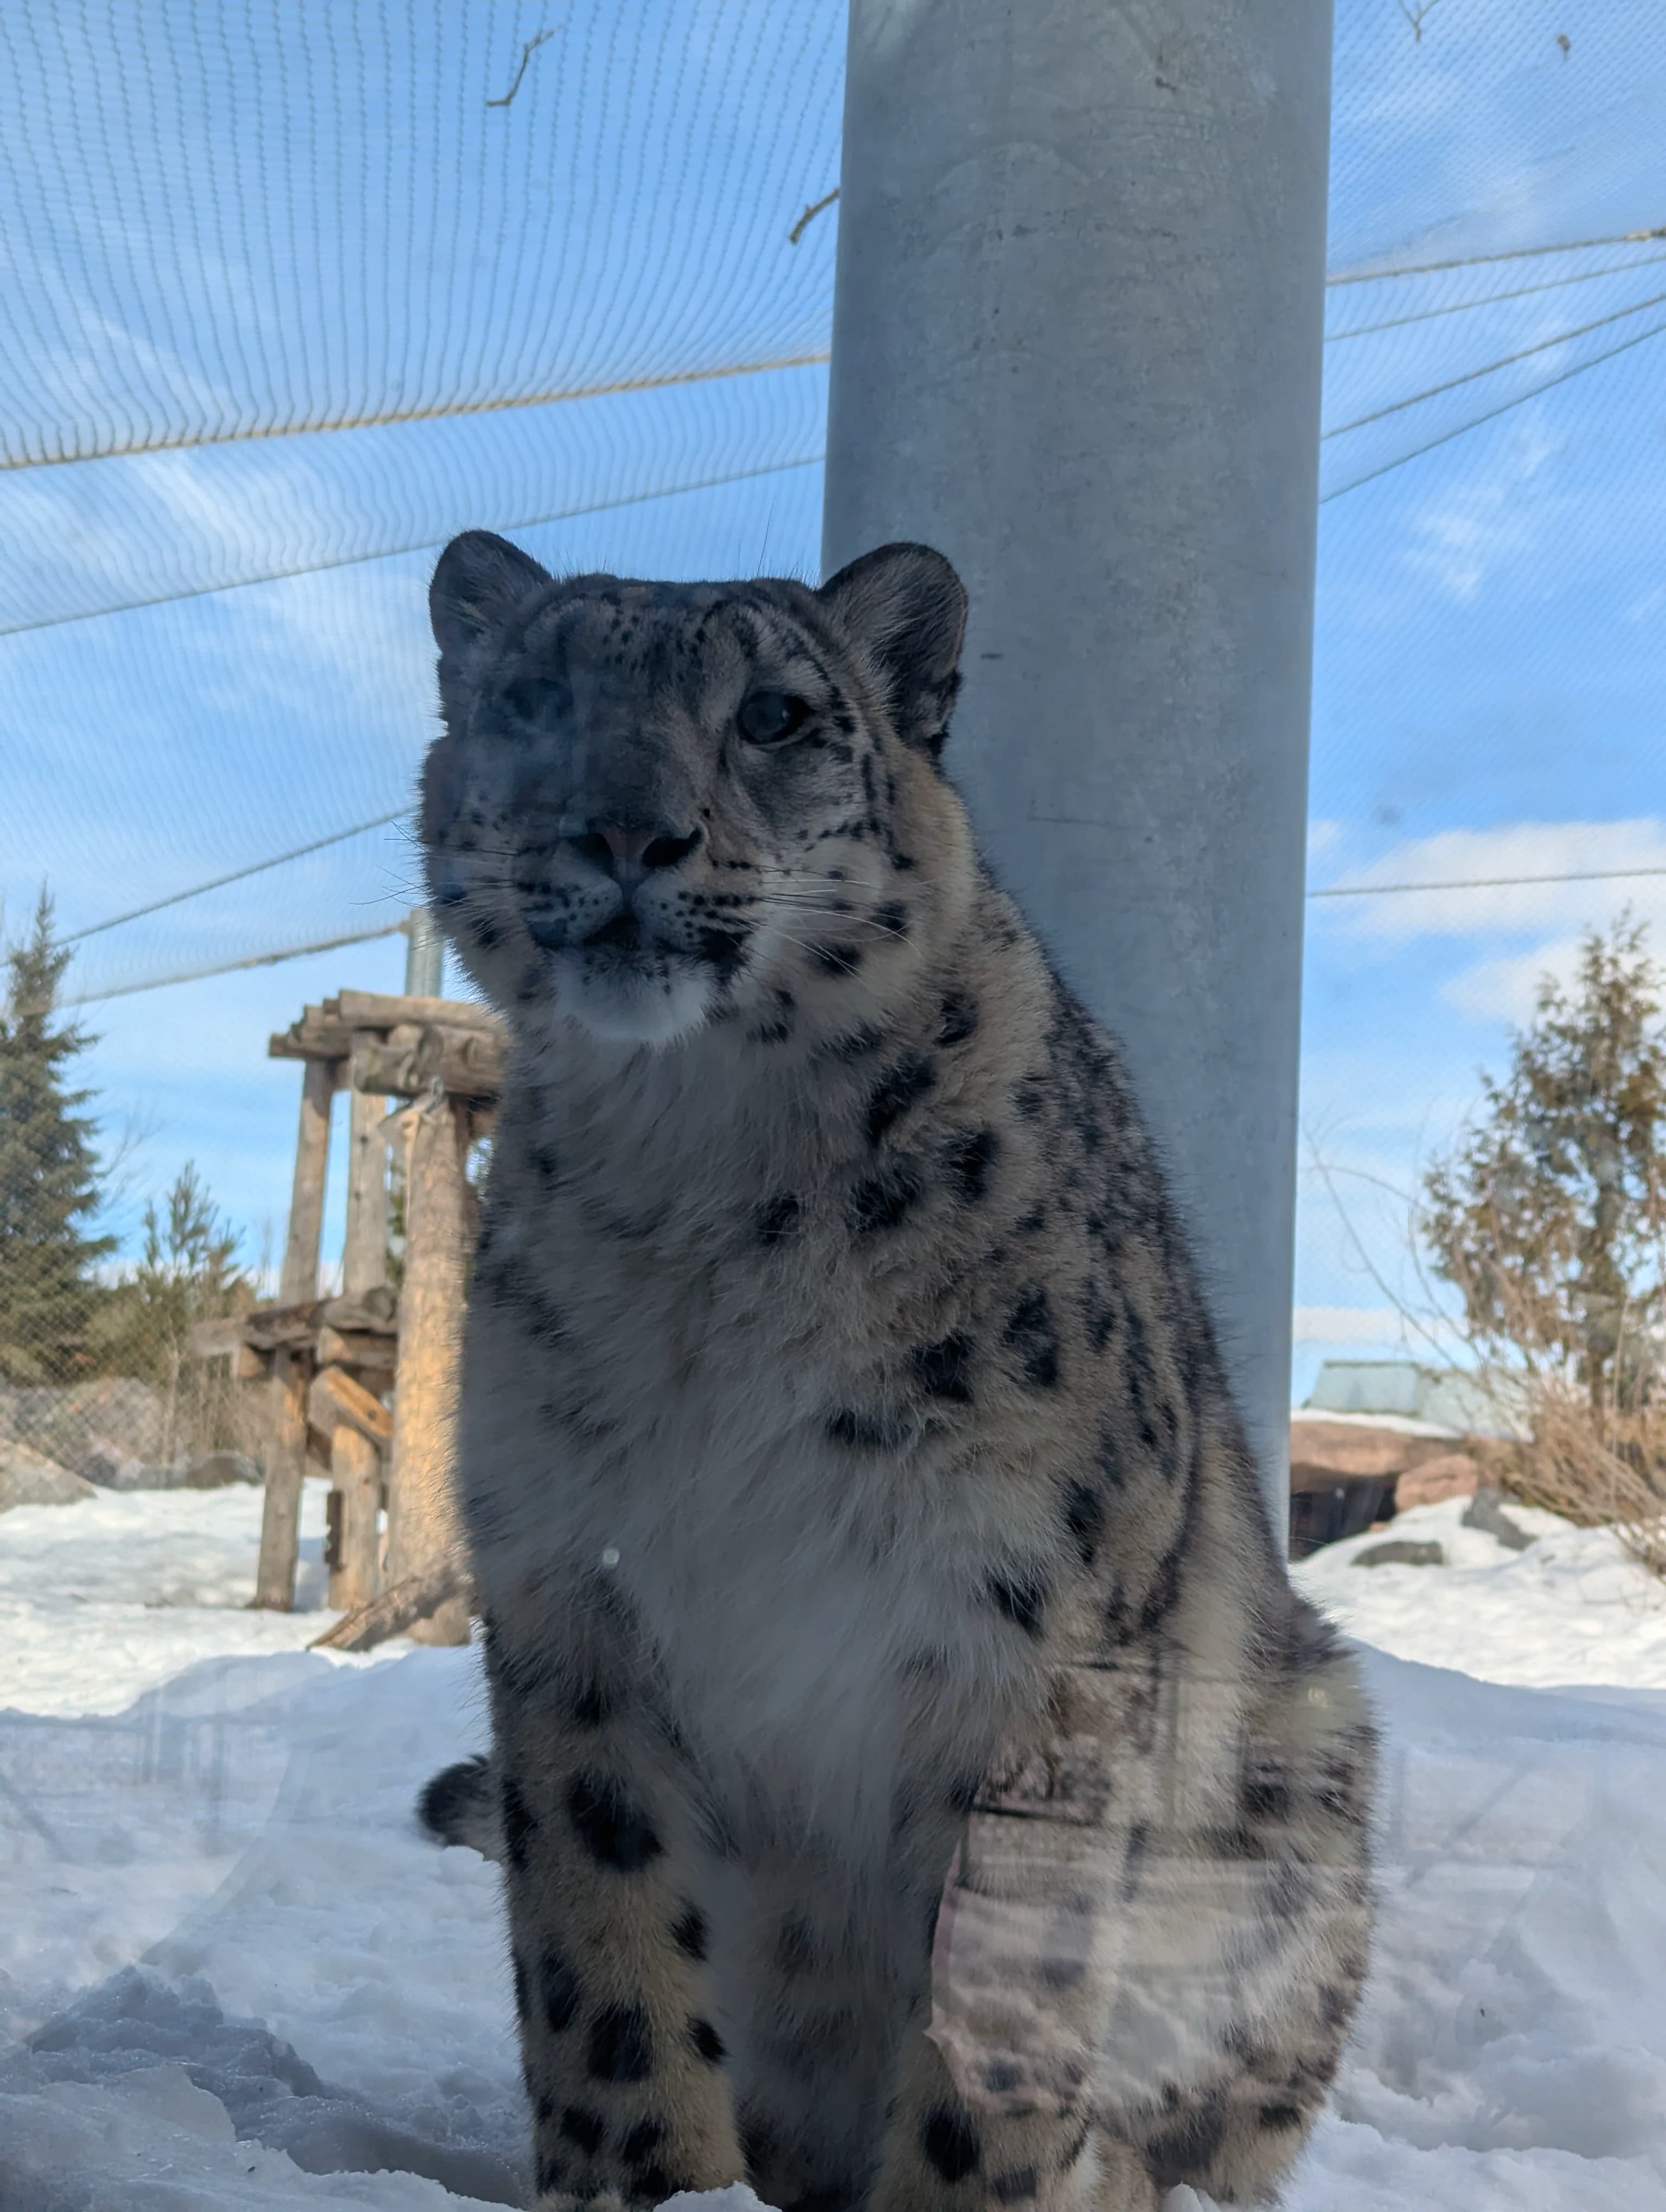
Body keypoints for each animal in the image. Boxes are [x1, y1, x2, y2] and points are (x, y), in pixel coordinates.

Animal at [413, 528, 1376, 2212]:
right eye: (532, 698)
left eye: (777, 717)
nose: (629, 829)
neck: (702, 1178)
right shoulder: (565, 1585)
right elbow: (603, 1948)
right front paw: (653, 2179)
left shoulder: (1042, 1623)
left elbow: (1002, 1991)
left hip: (1307, 1767)